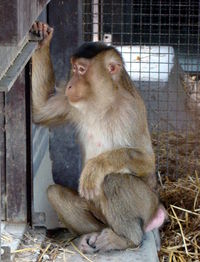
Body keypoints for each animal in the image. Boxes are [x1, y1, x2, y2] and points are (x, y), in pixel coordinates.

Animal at [30, 22, 166, 254]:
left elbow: (148, 161)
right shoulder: (69, 101)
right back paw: (91, 235)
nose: (69, 85)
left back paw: (126, 239)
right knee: (55, 193)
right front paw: (42, 40)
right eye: (74, 68)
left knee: (114, 180)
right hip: (99, 213)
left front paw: (97, 166)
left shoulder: (131, 110)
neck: (102, 102)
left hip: (147, 204)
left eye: (81, 70)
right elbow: (40, 111)